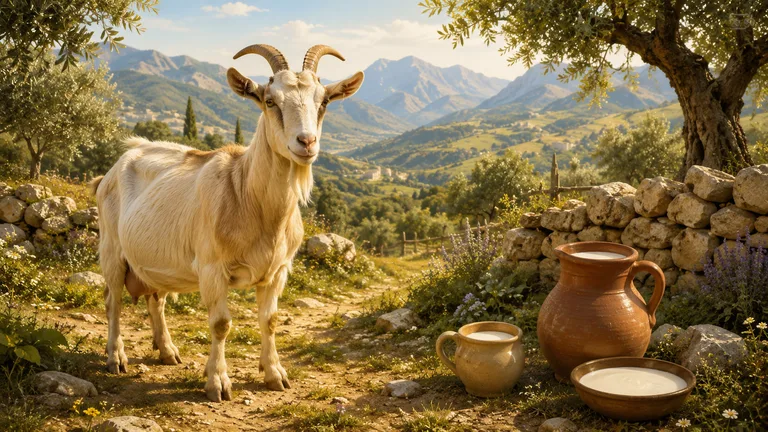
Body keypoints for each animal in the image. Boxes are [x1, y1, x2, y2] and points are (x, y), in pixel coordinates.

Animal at [93, 44, 364, 402]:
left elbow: (271, 320)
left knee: (156, 300)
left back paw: (168, 351)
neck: (247, 196)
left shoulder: (278, 271)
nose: (306, 142)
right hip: (112, 249)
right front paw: (218, 382)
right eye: (270, 101)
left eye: (324, 102)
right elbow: (221, 324)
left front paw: (275, 374)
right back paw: (116, 358)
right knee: (113, 301)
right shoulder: (212, 268)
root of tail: (111, 170)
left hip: (154, 261)